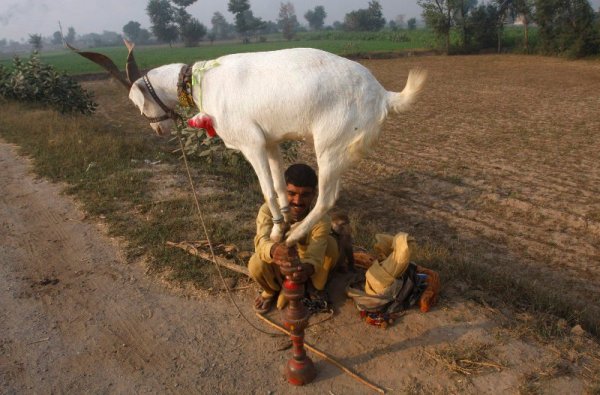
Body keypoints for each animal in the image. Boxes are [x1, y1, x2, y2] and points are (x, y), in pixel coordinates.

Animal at [71, 44, 426, 248]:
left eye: (137, 103)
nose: (158, 129)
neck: (201, 81)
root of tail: (384, 96)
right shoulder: (270, 142)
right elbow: (280, 188)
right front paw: (282, 221)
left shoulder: (250, 142)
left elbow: (266, 189)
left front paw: (280, 232)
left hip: (332, 144)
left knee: (327, 196)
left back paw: (297, 235)